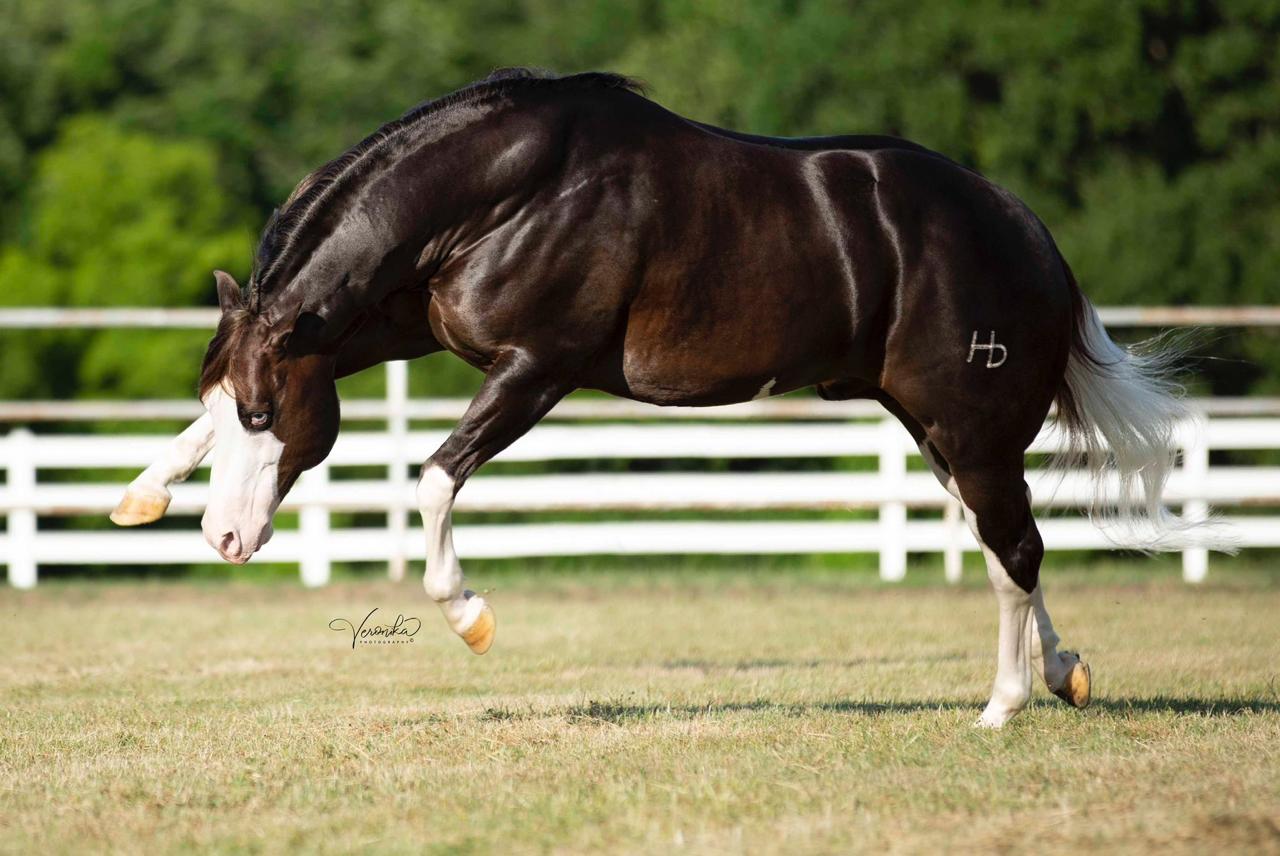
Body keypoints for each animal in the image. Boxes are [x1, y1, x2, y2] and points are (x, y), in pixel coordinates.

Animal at [110, 66, 1218, 726]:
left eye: (265, 415)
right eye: (231, 408)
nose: (223, 540)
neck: (508, 189)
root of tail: (1024, 229)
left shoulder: (536, 368)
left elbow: (431, 479)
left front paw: (469, 614)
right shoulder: (398, 324)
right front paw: (141, 493)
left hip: (970, 427)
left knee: (1014, 550)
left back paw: (1001, 705)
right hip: (940, 431)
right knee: (1005, 548)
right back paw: (1062, 674)